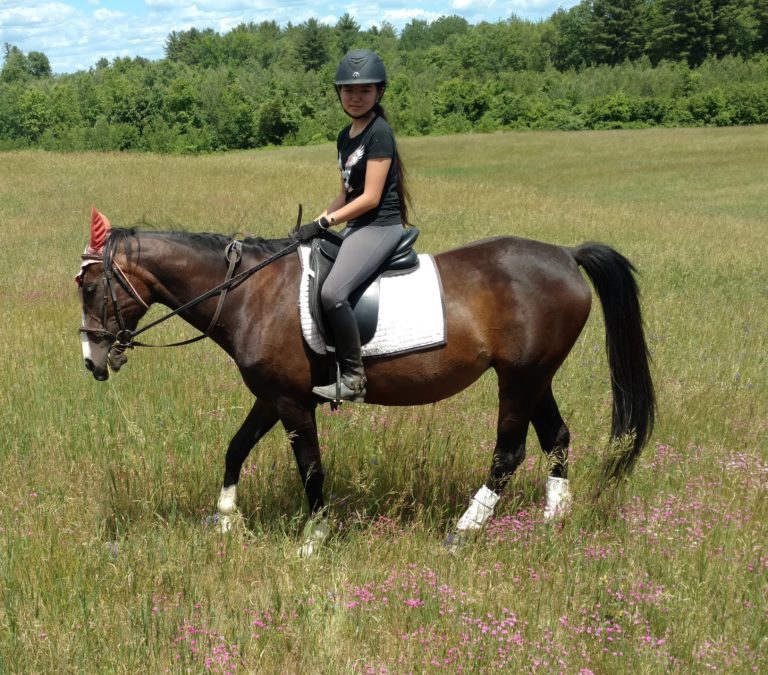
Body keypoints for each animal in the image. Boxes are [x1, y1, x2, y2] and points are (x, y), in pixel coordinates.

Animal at [76, 210, 656, 556]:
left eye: (89, 287)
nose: (91, 359)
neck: (250, 293)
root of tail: (565, 255)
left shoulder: (292, 402)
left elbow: (310, 468)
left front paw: (313, 540)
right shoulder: (272, 395)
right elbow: (235, 448)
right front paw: (224, 521)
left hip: (520, 378)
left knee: (509, 453)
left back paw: (465, 529)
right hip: (535, 376)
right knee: (557, 437)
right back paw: (555, 520)